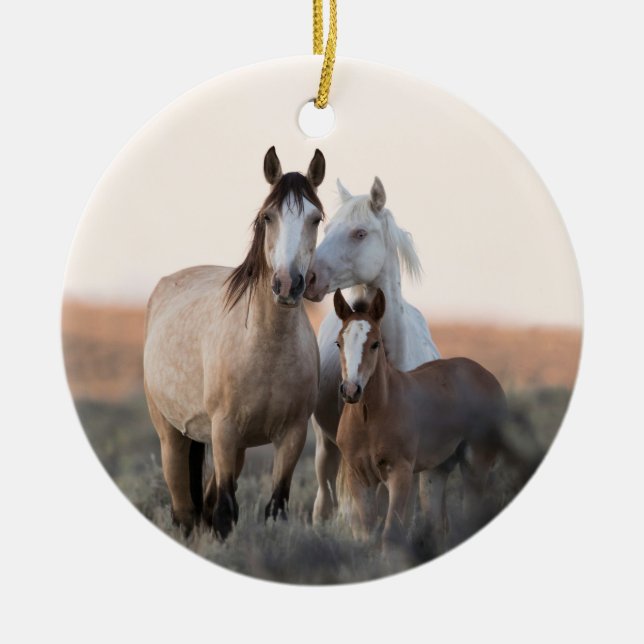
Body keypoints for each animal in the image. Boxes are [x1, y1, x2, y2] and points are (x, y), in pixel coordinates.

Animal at [143, 146, 326, 539]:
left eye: (316, 218)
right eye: (268, 217)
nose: (287, 284)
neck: (266, 347)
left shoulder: (291, 436)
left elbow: (274, 509)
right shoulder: (224, 431)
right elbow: (226, 513)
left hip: (235, 446)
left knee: (205, 506)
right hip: (172, 436)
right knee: (185, 512)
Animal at [333, 288, 508, 549]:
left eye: (375, 343)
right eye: (339, 343)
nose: (351, 390)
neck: (370, 419)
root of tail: (487, 376)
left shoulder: (400, 473)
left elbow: (390, 533)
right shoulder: (359, 476)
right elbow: (367, 534)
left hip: (476, 464)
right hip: (435, 472)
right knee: (437, 524)